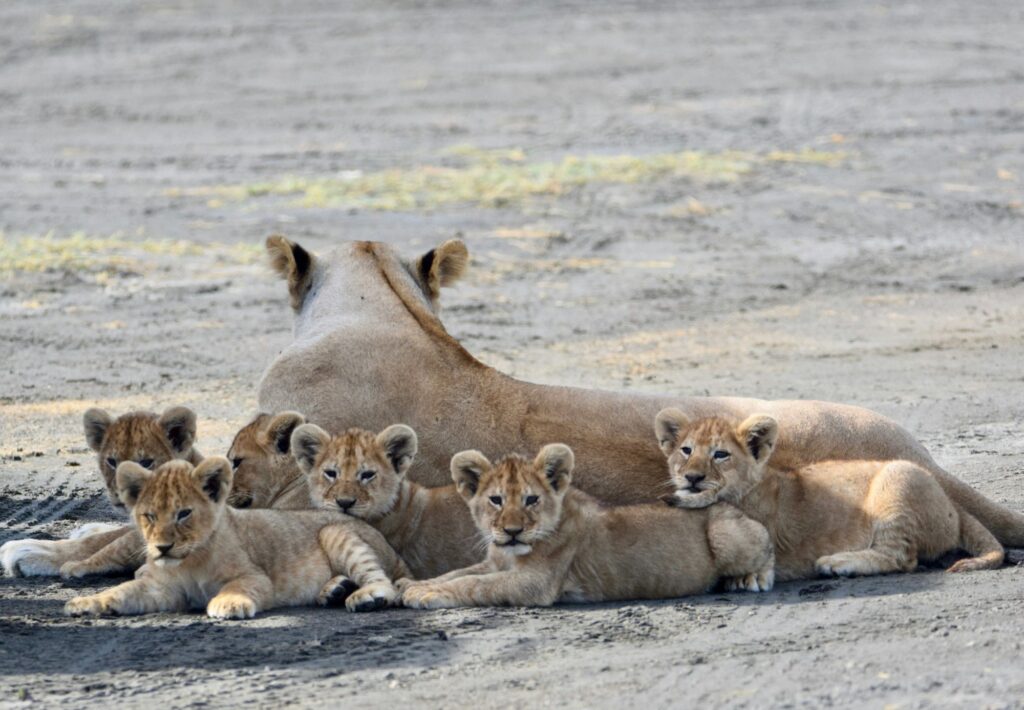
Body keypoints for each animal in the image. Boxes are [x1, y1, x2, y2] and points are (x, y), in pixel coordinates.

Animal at [64, 457, 408, 618]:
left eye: (183, 514)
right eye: (149, 516)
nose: (162, 547)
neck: (188, 561)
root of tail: (392, 547)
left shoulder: (256, 576)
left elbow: (239, 586)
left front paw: (228, 603)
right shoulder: (162, 590)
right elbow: (121, 591)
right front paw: (86, 602)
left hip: (336, 532)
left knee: (384, 582)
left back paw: (365, 596)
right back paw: (335, 589)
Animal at [399, 443, 774, 609]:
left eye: (531, 500)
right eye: (496, 500)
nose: (512, 531)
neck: (511, 553)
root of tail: (727, 504)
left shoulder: (535, 584)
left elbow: (477, 585)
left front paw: (425, 594)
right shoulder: (494, 562)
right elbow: (458, 573)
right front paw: (412, 584)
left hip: (727, 534)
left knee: (768, 546)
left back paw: (751, 578)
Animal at [654, 409, 1007, 581]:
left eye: (721, 455)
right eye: (686, 450)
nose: (692, 477)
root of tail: (955, 507)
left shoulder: (762, 529)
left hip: (899, 481)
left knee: (901, 558)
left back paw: (838, 563)